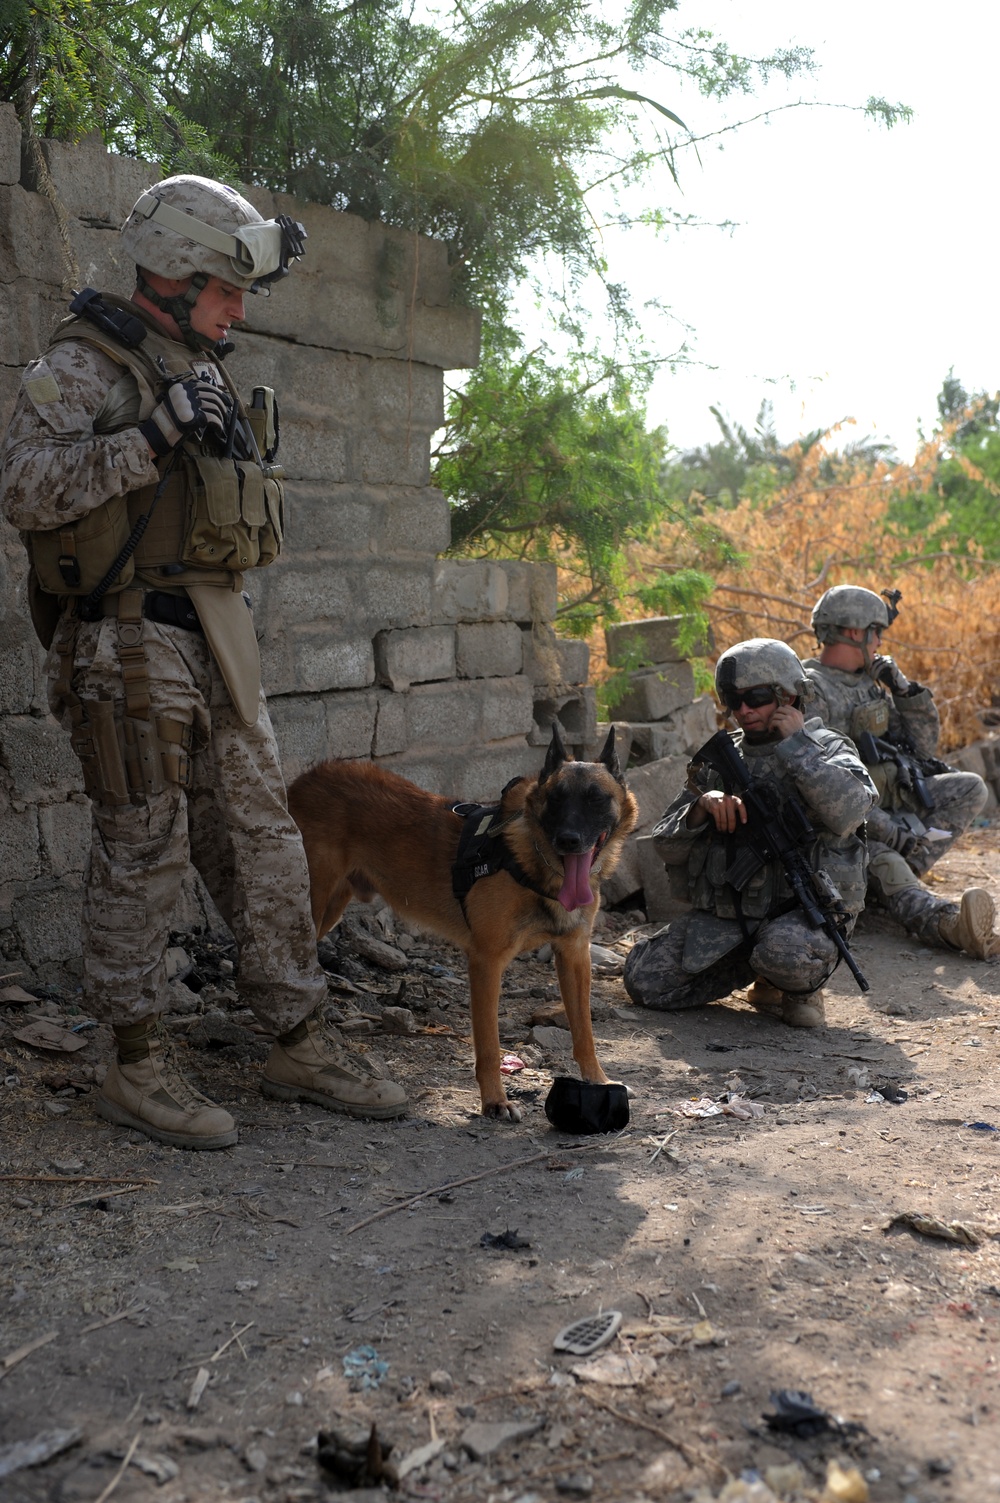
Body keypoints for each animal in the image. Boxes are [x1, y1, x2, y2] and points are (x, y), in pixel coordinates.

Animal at [284, 727, 634, 1118]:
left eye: (596, 799)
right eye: (555, 799)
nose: (568, 840)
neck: (531, 861)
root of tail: (306, 778)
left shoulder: (574, 955)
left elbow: (584, 1030)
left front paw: (598, 1080)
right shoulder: (486, 962)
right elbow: (489, 1045)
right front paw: (495, 1101)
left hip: (330, 908)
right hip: (312, 908)